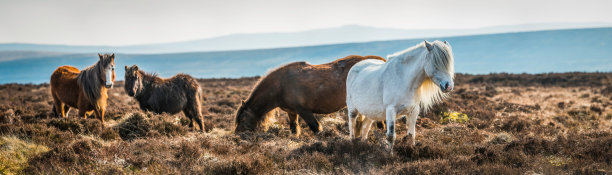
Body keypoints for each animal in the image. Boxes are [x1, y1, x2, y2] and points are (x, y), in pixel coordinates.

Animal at [235, 54, 384, 135]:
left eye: (242, 119)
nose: (237, 135)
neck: (280, 85)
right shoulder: (291, 111)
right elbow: (294, 128)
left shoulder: (304, 111)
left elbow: (315, 127)